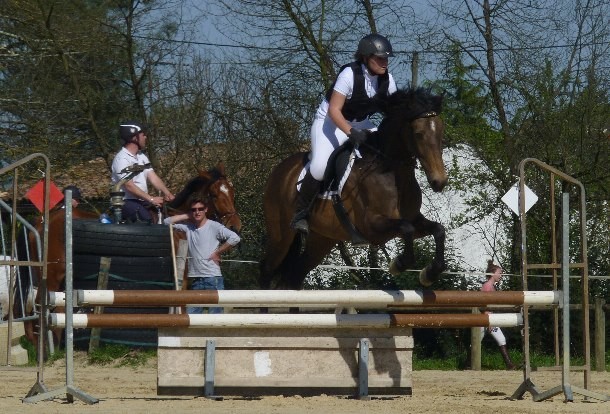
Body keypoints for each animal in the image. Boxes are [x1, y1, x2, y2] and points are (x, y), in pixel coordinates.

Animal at [16, 162, 241, 351]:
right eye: (213, 194)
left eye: (231, 190)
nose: (234, 225)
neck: (180, 225)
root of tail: (41, 221)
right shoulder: (181, 279)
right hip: (53, 274)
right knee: (40, 303)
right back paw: (43, 346)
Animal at [260, 87, 448, 290]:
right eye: (418, 133)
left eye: (441, 131)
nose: (439, 181)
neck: (392, 173)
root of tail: (280, 169)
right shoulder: (371, 227)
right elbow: (406, 228)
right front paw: (398, 264)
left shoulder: (413, 219)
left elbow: (438, 230)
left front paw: (430, 273)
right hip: (280, 235)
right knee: (267, 268)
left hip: (322, 239)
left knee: (295, 274)